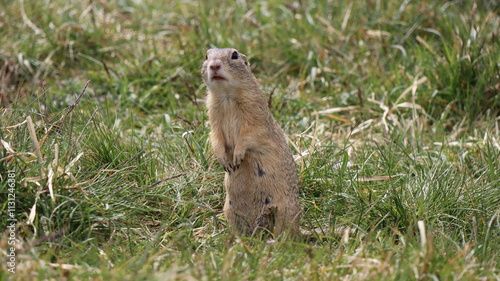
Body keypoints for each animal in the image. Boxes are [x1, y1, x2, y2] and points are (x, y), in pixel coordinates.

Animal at [202, 47, 300, 236]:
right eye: (206, 55)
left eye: (234, 55)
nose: (214, 65)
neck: (227, 96)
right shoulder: (213, 116)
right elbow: (215, 137)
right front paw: (224, 160)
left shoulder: (255, 115)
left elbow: (249, 135)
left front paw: (237, 156)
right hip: (229, 210)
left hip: (285, 211)